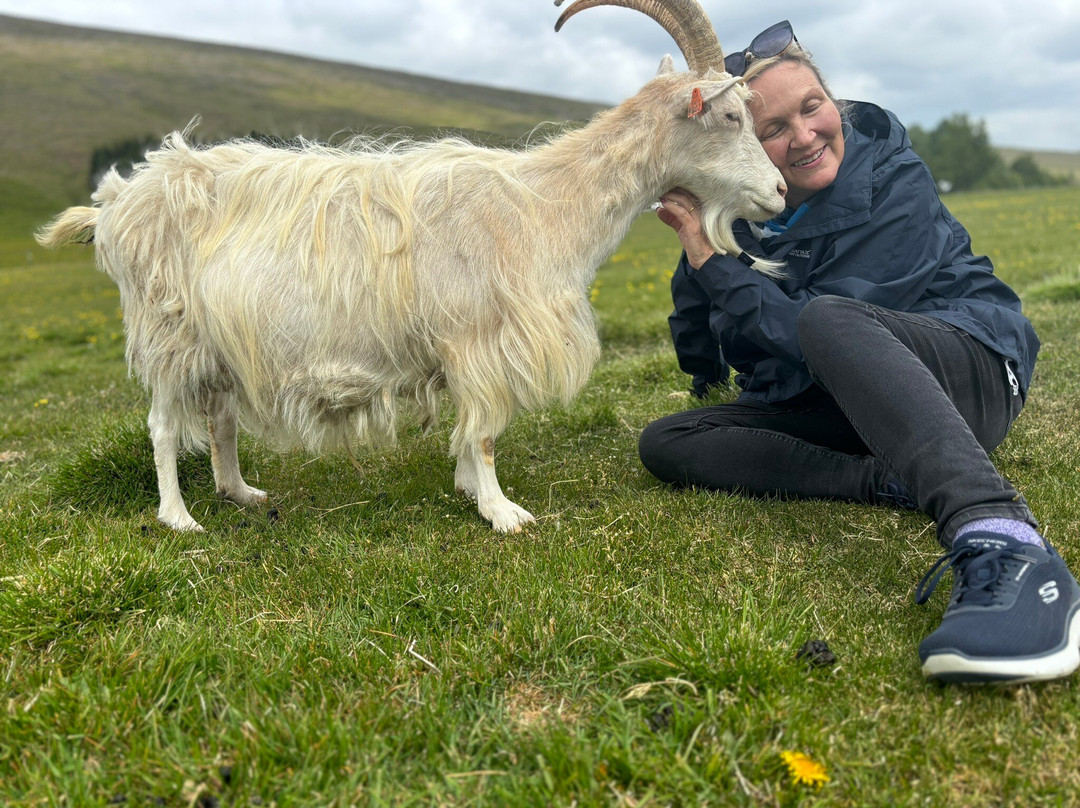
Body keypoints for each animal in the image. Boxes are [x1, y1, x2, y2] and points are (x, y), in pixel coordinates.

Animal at [36, 0, 786, 533]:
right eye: (729, 116)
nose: (779, 191)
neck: (543, 204)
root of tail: (117, 202)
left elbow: (473, 429)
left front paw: (470, 491)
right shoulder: (478, 336)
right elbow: (484, 431)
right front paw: (502, 512)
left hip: (218, 340)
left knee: (219, 420)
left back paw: (241, 493)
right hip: (168, 332)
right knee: (164, 426)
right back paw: (179, 518)